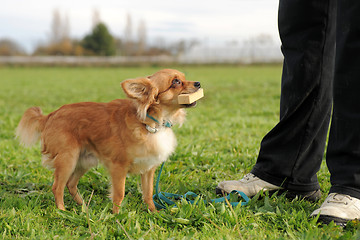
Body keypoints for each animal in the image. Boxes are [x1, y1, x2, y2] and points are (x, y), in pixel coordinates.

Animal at [16, 68, 201, 213]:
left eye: (184, 78)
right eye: (176, 82)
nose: (198, 83)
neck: (152, 123)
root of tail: (50, 116)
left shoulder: (148, 169)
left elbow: (148, 194)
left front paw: (153, 212)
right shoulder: (118, 167)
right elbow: (119, 194)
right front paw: (117, 216)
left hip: (84, 161)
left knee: (71, 184)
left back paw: (84, 206)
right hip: (68, 159)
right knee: (58, 187)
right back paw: (62, 210)